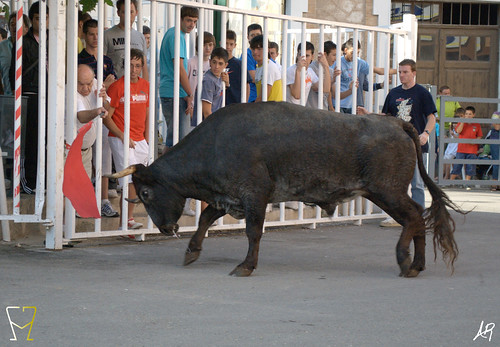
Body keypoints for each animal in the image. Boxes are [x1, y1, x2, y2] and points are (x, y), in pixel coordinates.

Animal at [110, 101, 460, 278]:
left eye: (145, 193)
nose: (165, 228)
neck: (216, 143)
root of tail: (395, 122)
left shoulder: (255, 195)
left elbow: (252, 232)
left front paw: (246, 265)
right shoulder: (228, 197)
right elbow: (205, 219)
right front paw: (191, 251)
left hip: (387, 192)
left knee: (414, 217)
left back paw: (405, 260)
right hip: (386, 193)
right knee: (417, 219)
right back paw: (417, 264)